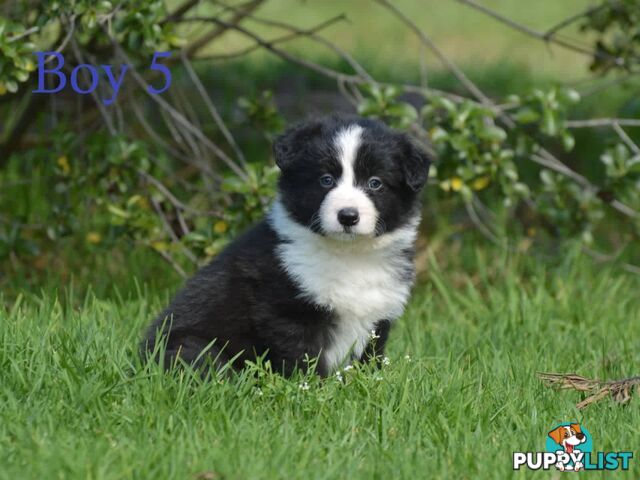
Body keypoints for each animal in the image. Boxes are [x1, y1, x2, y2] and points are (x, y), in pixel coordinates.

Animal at [142, 114, 432, 376]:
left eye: (375, 183)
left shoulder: (378, 317)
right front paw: (312, 388)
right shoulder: (286, 310)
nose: (348, 216)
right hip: (193, 346)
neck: (349, 254)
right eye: (326, 179)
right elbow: (302, 356)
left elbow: (369, 357)